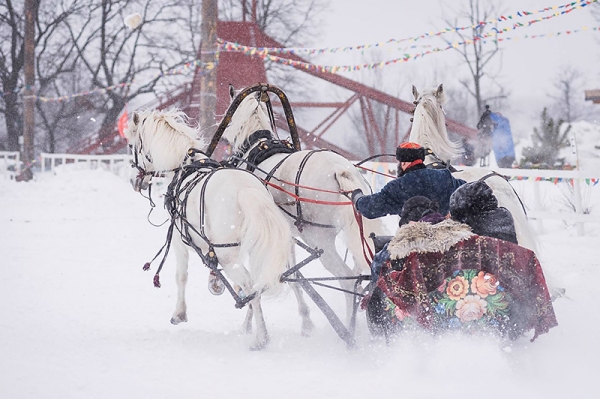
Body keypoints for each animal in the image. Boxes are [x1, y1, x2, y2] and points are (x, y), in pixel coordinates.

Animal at [124, 108, 296, 350]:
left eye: (131, 146)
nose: (133, 181)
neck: (185, 166)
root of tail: (246, 190)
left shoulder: (178, 240)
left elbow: (181, 276)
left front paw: (179, 314)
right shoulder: (209, 244)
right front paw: (214, 283)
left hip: (228, 256)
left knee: (250, 287)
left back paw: (261, 338)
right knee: (258, 283)